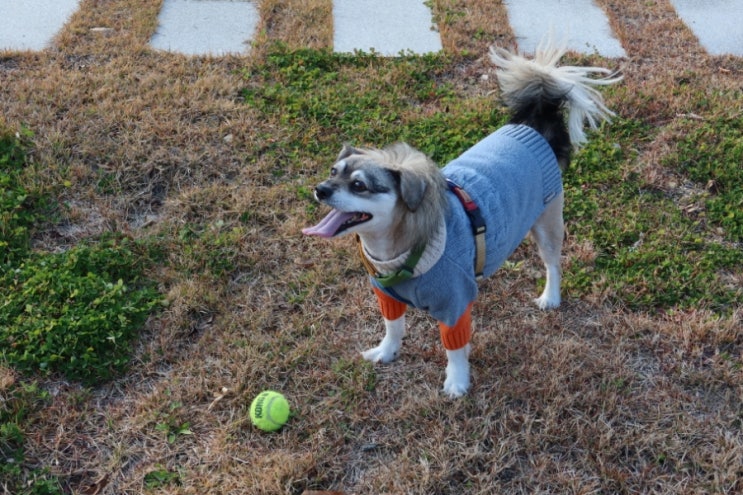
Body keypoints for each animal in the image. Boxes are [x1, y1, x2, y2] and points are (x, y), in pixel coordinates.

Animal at [302, 41, 620, 400]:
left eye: (359, 185)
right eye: (333, 171)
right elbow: (393, 326)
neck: (398, 248)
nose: (320, 189)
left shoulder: (454, 305)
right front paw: (387, 351)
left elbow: (454, 348)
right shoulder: (388, 297)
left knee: (553, 263)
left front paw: (456, 382)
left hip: (548, 222)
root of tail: (534, 128)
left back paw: (550, 297)